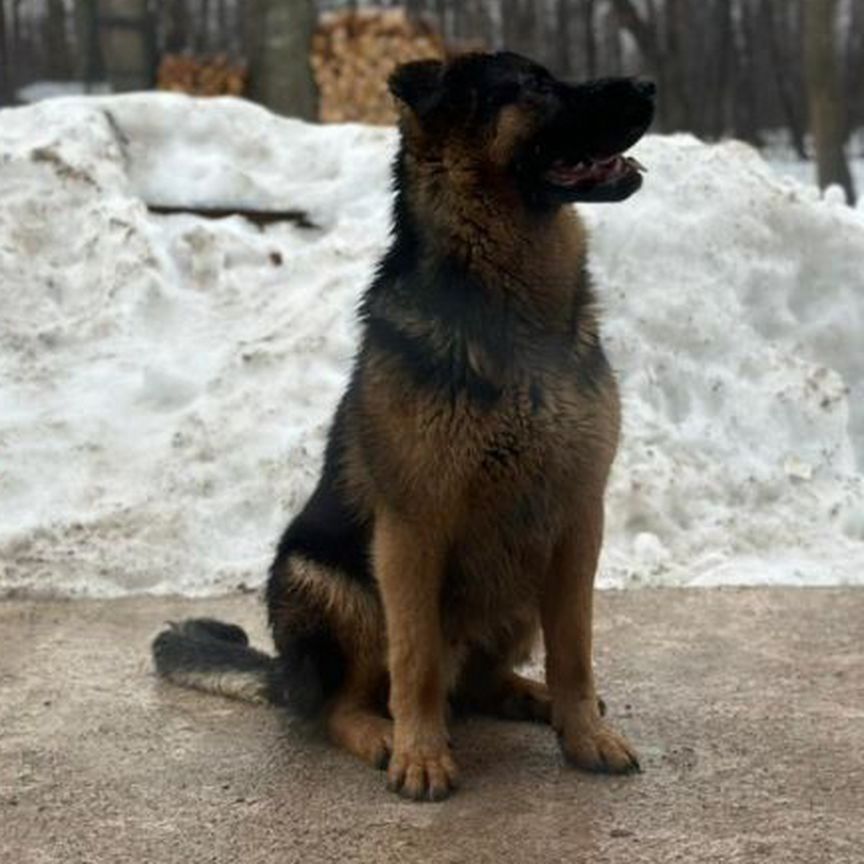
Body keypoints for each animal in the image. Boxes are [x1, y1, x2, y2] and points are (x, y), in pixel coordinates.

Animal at [155, 49, 656, 804]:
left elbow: (576, 650)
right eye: (533, 85)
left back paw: (532, 698)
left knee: (479, 683)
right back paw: (382, 734)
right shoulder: (412, 533)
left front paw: (584, 734)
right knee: (343, 704)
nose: (650, 85)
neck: (509, 318)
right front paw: (421, 755)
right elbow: (415, 658)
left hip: (519, 581)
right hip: (337, 587)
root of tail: (286, 675)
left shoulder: (576, 521)